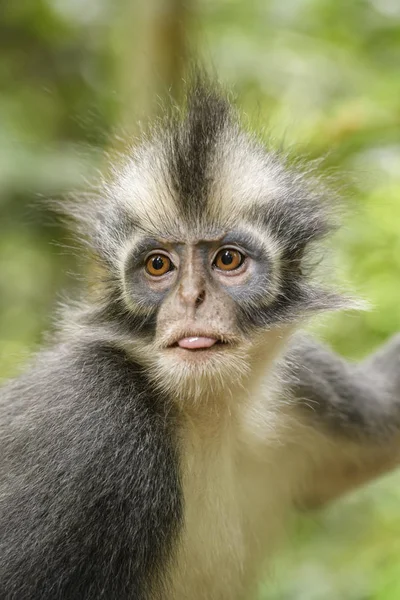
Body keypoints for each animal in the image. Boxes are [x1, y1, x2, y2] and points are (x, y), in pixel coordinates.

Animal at [0, 81, 398, 600]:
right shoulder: (96, 426)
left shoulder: (305, 381)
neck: (203, 413)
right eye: (158, 265)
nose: (191, 298)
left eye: (227, 259)